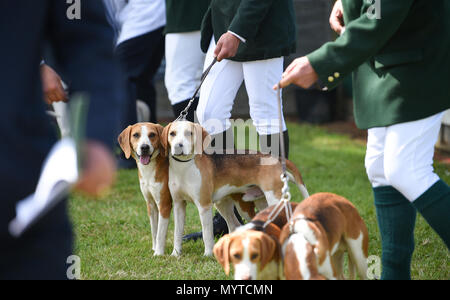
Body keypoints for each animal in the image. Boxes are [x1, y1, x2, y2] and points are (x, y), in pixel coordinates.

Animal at [117, 122, 171, 255]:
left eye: (152, 135)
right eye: (136, 135)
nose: (145, 147)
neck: (148, 170)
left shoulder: (164, 204)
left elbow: (160, 233)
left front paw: (158, 253)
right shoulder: (151, 205)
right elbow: (154, 231)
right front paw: (155, 247)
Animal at [160, 120, 308, 256]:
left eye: (189, 133)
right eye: (172, 134)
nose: (178, 146)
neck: (184, 167)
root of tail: (275, 158)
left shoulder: (204, 206)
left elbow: (207, 234)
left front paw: (208, 254)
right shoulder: (178, 205)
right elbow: (177, 233)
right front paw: (175, 254)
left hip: (272, 201)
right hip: (236, 204)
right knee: (236, 225)